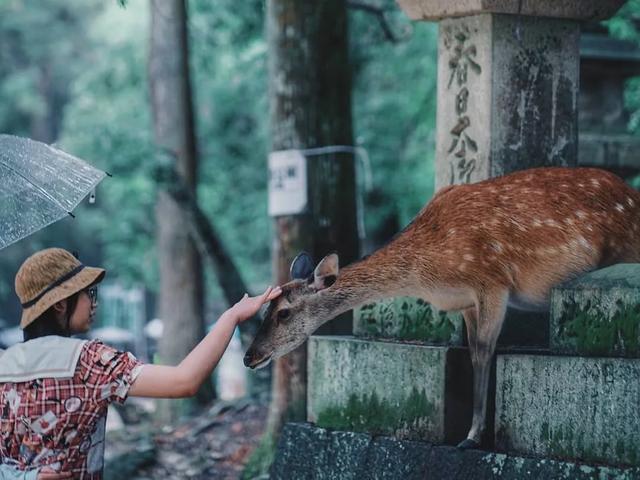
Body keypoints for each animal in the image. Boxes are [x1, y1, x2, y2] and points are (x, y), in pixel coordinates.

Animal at [242, 167, 640, 448]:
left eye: (284, 312)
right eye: (265, 309)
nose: (249, 356)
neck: (428, 270)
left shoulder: (493, 281)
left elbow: (485, 351)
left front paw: (473, 436)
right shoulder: (465, 301)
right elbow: (473, 350)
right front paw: (472, 430)